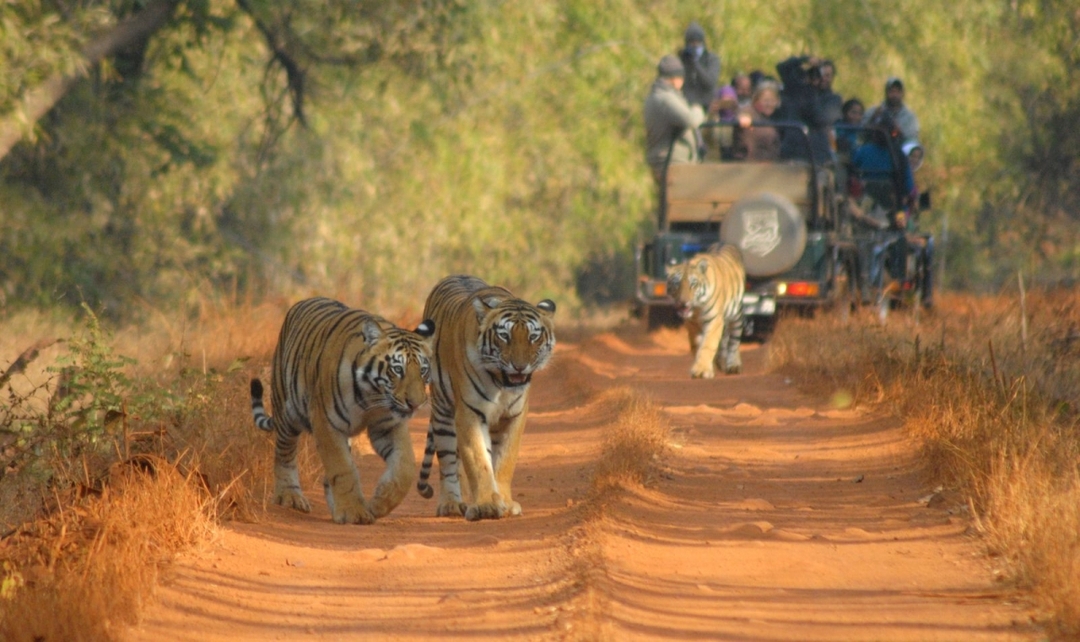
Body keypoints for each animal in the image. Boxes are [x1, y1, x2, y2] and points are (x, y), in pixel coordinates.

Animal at [250, 297, 435, 524]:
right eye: (397, 369)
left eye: (423, 371)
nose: (416, 404)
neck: (372, 395)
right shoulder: (327, 424)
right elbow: (342, 467)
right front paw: (353, 512)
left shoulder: (388, 425)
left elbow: (405, 466)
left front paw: (379, 503)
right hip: (287, 412)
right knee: (285, 454)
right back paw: (290, 496)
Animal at [414, 275, 556, 521]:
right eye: (504, 336)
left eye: (533, 337)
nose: (520, 366)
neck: (501, 383)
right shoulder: (470, 413)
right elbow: (478, 460)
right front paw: (486, 506)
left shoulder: (514, 416)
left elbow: (504, 461)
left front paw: (505, 503)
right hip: (443, 413)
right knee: (449, 462)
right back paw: (452, 504)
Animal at [665, 243, 746, 378]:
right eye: (677, 284)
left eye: (693, 284)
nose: (683, 302)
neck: (697, 309)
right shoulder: (692, 324)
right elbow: (698, 345)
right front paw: (704, 367)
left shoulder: (714, 320)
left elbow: (708, 344)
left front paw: (702, 370)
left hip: (736, 315)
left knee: (734, 341)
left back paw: (733, 365)